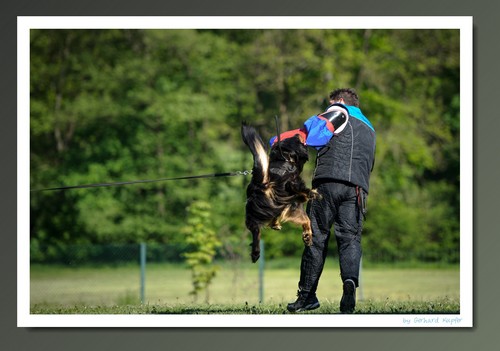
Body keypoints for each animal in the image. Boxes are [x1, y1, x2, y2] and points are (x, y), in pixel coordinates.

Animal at [240, 122, 318, 262]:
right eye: (295, 140)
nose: (297, 133)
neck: (284, 160)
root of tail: (262, 184)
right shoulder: (294, 192)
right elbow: (305, 201)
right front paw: (312, 193)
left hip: (252, 213)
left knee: (255, 231)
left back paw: (256, 253)